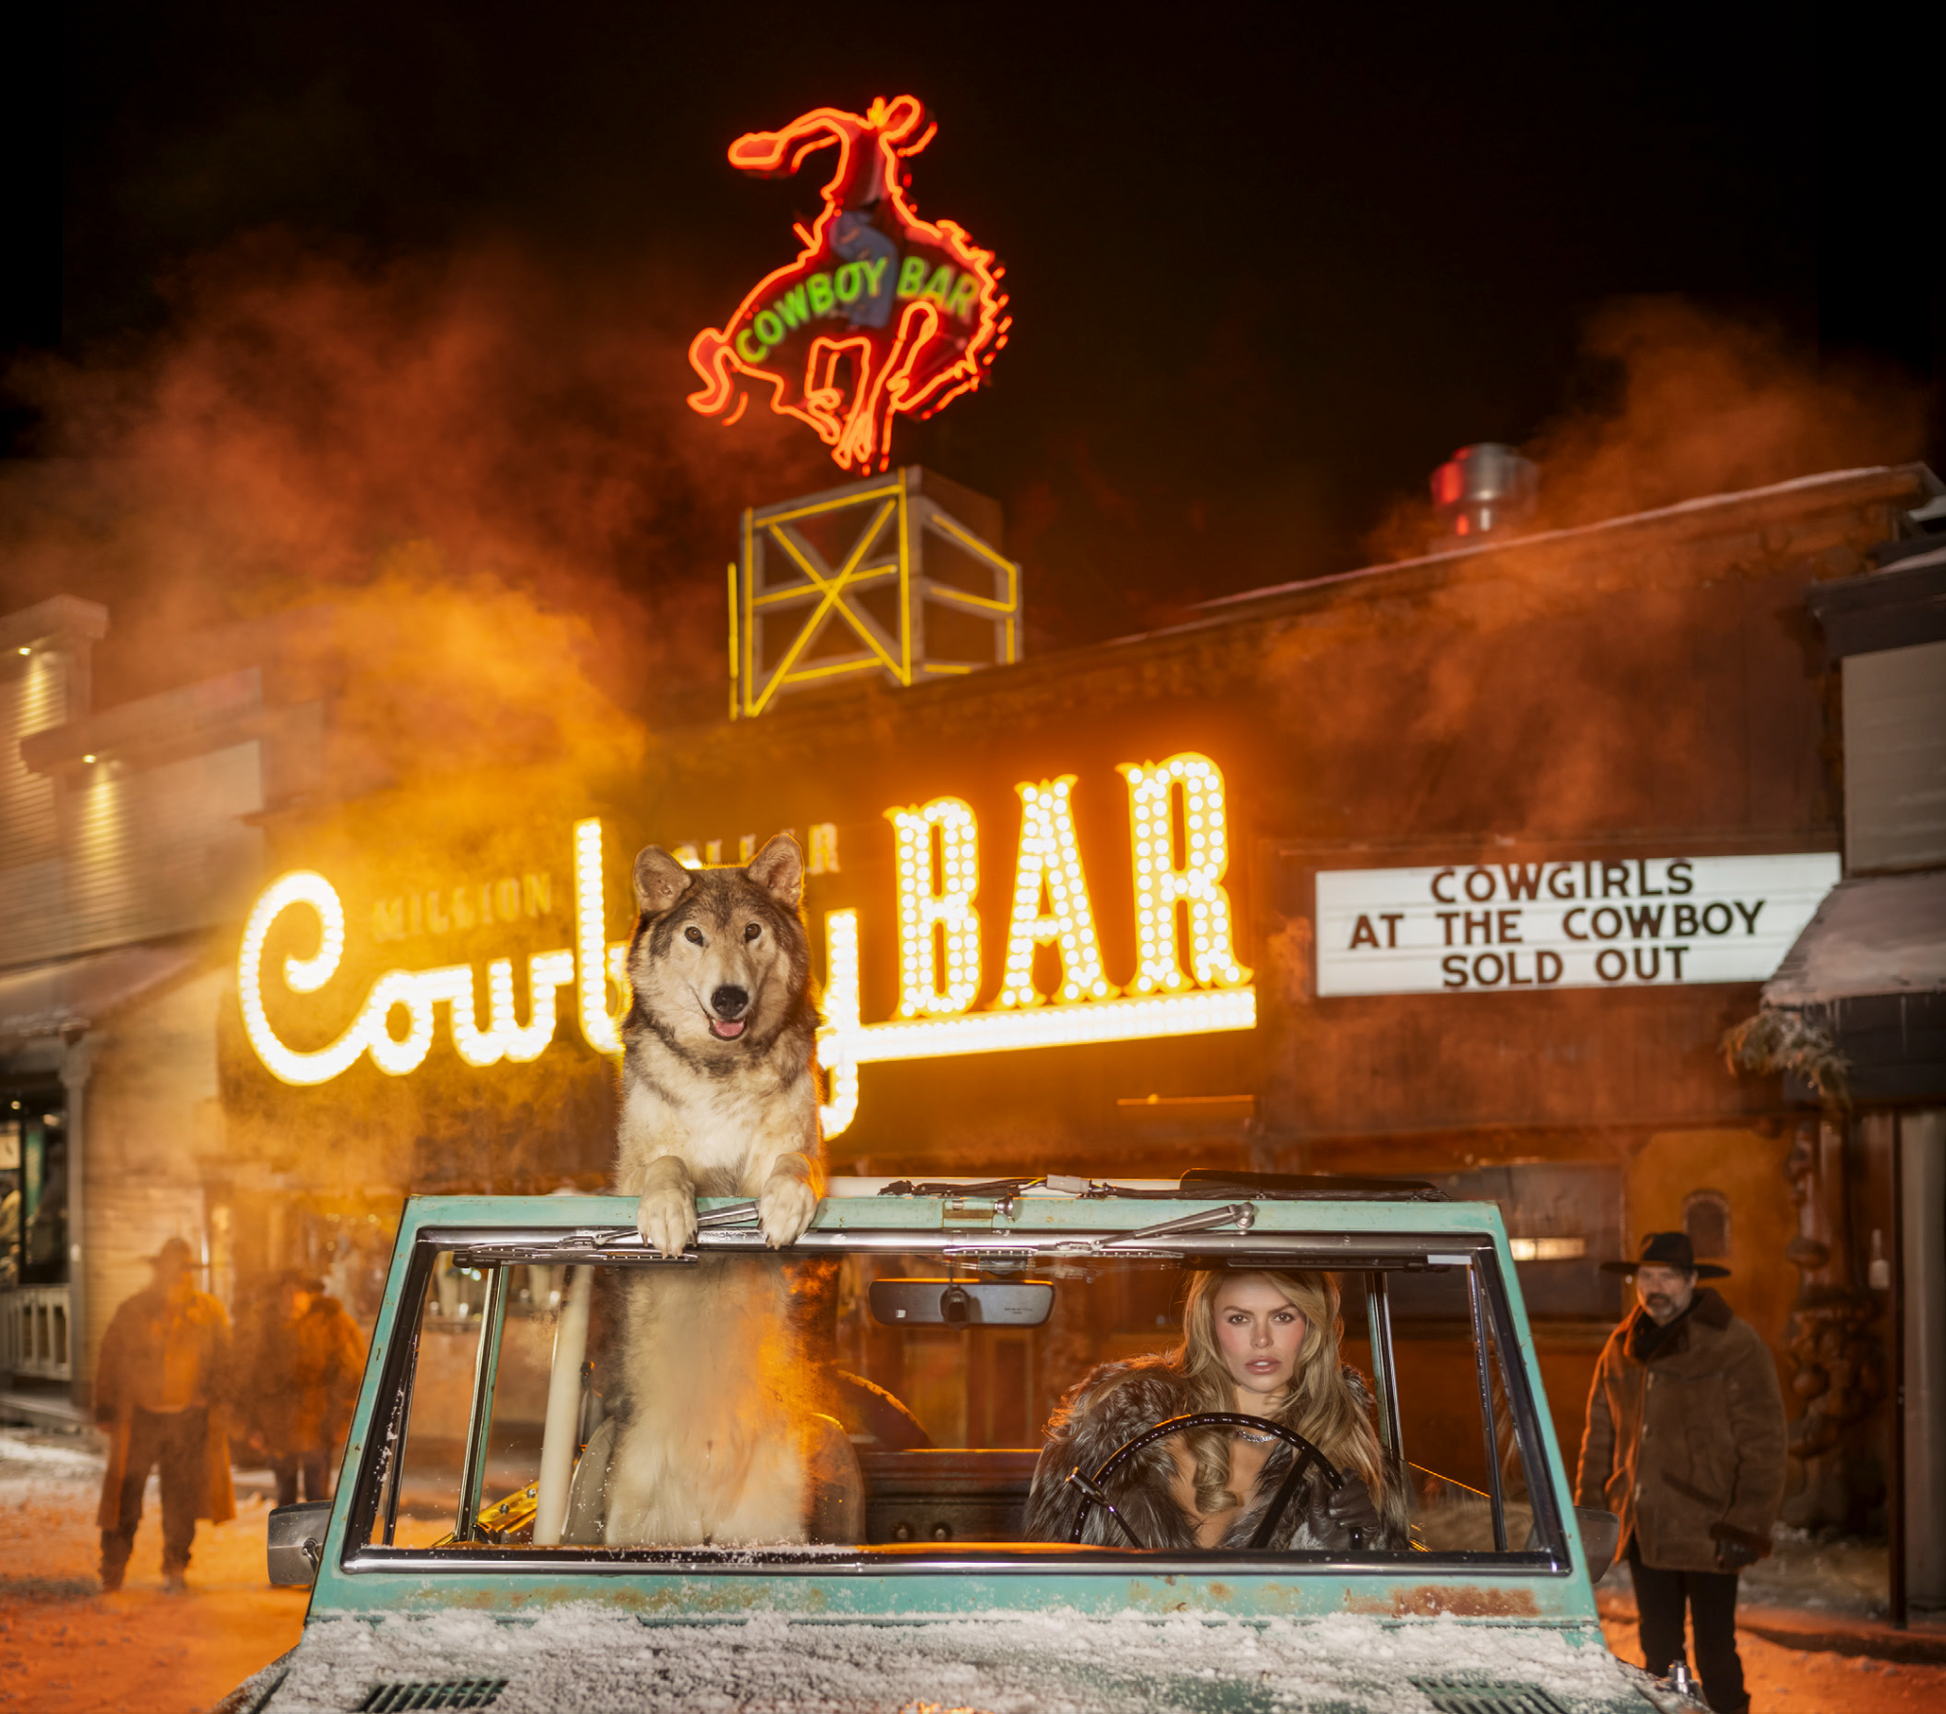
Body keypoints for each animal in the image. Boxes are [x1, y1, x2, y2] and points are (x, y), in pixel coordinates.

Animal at [599, 836, 828, 1548]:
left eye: (751, 932)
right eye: (695, 936)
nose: (729, 998)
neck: (721, 1071)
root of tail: (704, 1513)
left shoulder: (801, 1149)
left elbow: (791, 1167)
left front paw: (783, 1209)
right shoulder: (630, 1170)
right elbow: (668, 1165)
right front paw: (671, 1216)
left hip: (772, 1530)